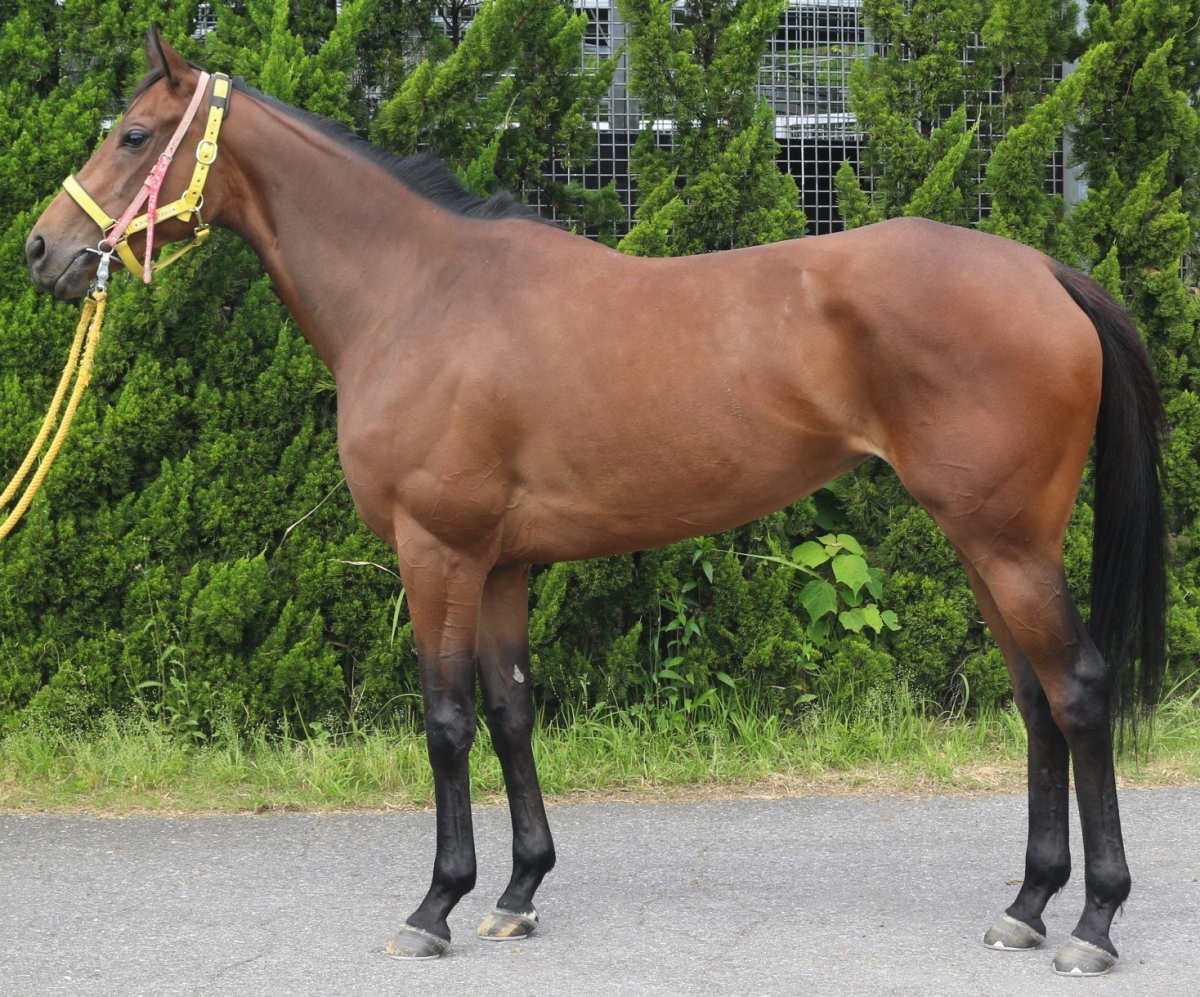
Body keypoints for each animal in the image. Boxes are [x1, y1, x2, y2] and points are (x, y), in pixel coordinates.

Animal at [25, 28, 1166, 977]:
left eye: (133, 134)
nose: (42, 249)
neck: (418, 294)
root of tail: (1044, 270)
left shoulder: (436, 552)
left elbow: (445, 719)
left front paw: (435, 905)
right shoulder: (501, 564)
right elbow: (511, 709)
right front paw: (518, 891)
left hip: (1009, 543)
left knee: (1077, 690)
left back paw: (1094, 922)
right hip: (984, 543)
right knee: (1033, 699)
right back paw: (1026, 905)